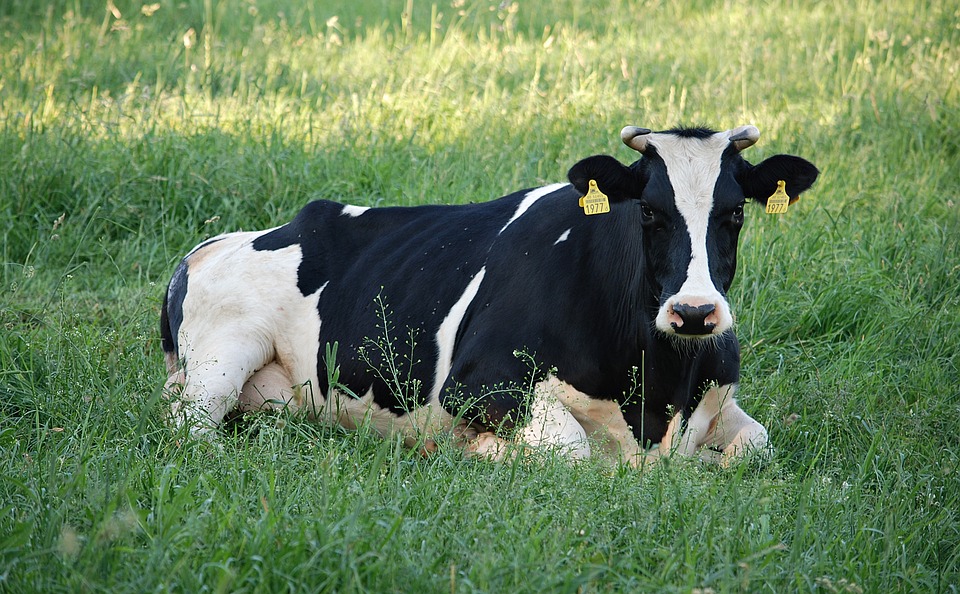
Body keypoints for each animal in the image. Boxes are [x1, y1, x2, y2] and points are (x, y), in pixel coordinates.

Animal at [161, 124, 818, 467]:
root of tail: (213, 245)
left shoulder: (720, 397)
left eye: (735, 213)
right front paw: (484, 452)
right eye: (650, 212)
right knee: (189, 428)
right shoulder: (477, 385)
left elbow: (755, 445)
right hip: (224, 354)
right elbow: (572, 449)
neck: (657, 394)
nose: (694, 312)